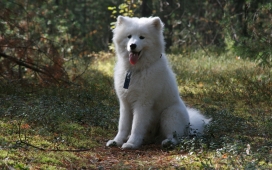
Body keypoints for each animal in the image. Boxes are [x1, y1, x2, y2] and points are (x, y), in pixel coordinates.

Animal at [107, 15, 210, 149]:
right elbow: (123, 126)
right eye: (129, 36)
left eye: (142, 37)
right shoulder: (125, 103)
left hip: (169, 114)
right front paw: (117, 141)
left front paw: (131, 143)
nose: (132, 45)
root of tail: (189, 125)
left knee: (175, 137)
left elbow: (136, 126)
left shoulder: (143, 103)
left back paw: (167, 142)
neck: (135, 70)